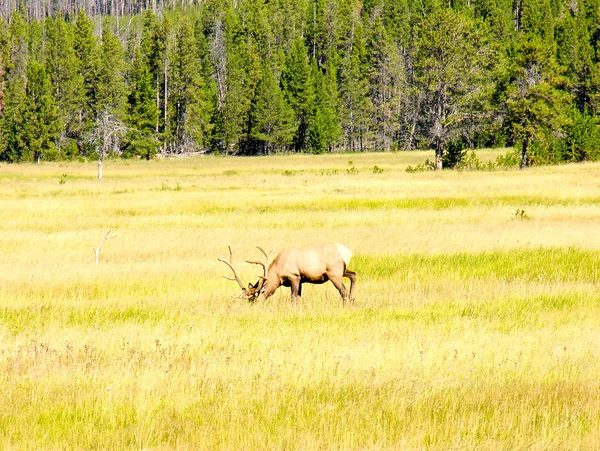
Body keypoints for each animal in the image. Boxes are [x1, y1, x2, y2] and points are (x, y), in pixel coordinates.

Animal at [219, 244, 356, 304]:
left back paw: (346, 304)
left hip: (334, 274)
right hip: (342, 271)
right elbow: (299, 297)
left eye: (255, 298)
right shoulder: (301, 280)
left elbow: (294, 297)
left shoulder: (294, 276)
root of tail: (347, 252)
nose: (254, 307)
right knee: (354, 274)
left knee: (343, 290)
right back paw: (353, 299)